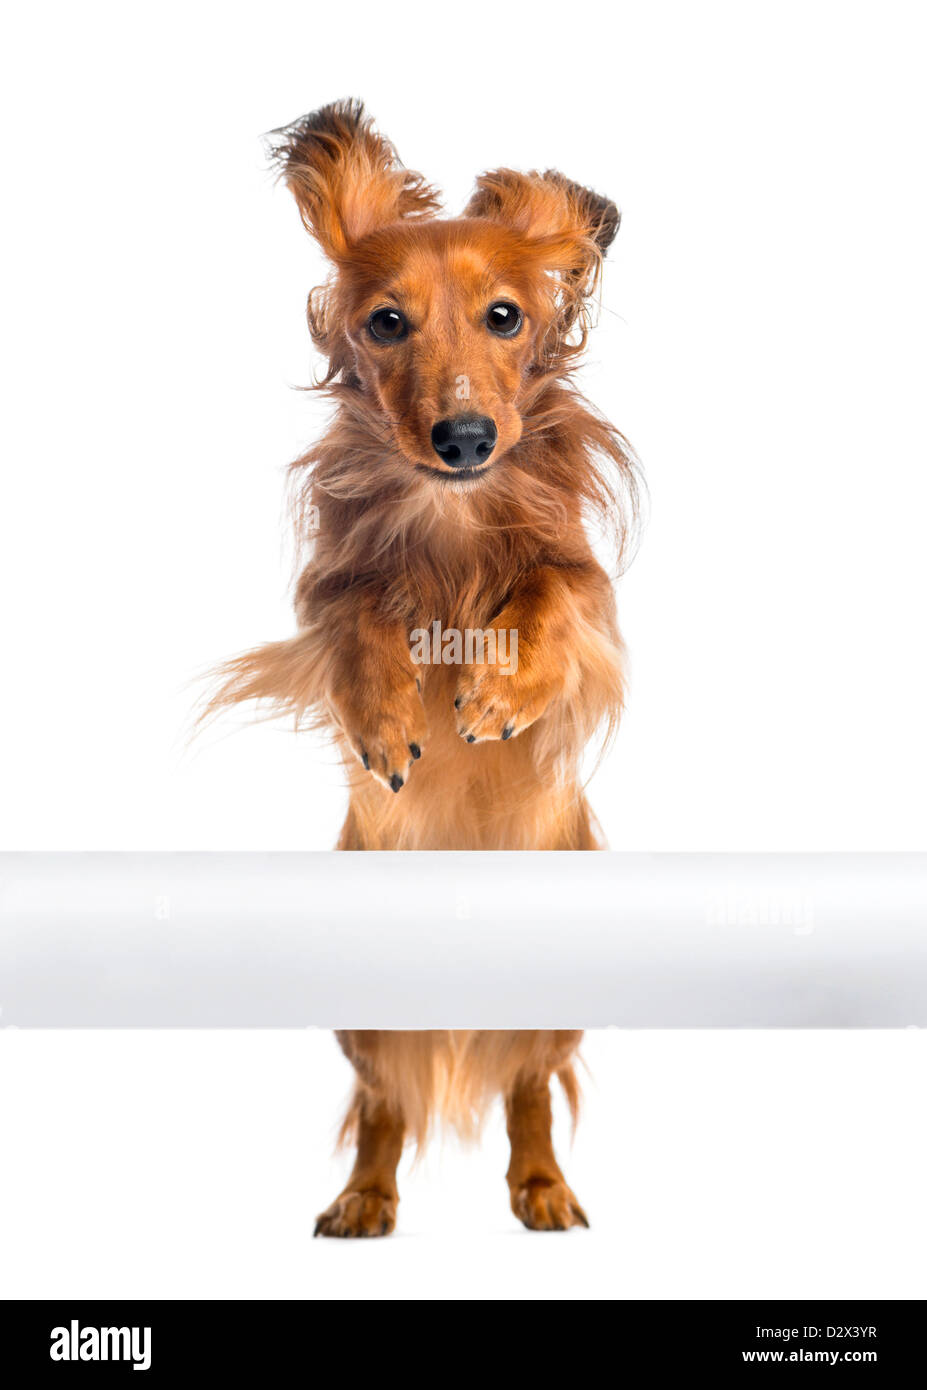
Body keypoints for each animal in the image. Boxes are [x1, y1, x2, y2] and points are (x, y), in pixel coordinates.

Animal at [208, 100, 639, 1239]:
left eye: (506, 316)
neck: (452, 521)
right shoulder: (328, 595)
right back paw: (363, 1199)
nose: (465, 438)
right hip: (367, 1021)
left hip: (552, 1019)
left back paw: (542, 1189)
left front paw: (495, 691)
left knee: (527, 1097)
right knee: (382, 1108)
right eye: (385, 323)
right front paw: (389, 721)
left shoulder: (589, 598)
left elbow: (548, 595)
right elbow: (362, 618)